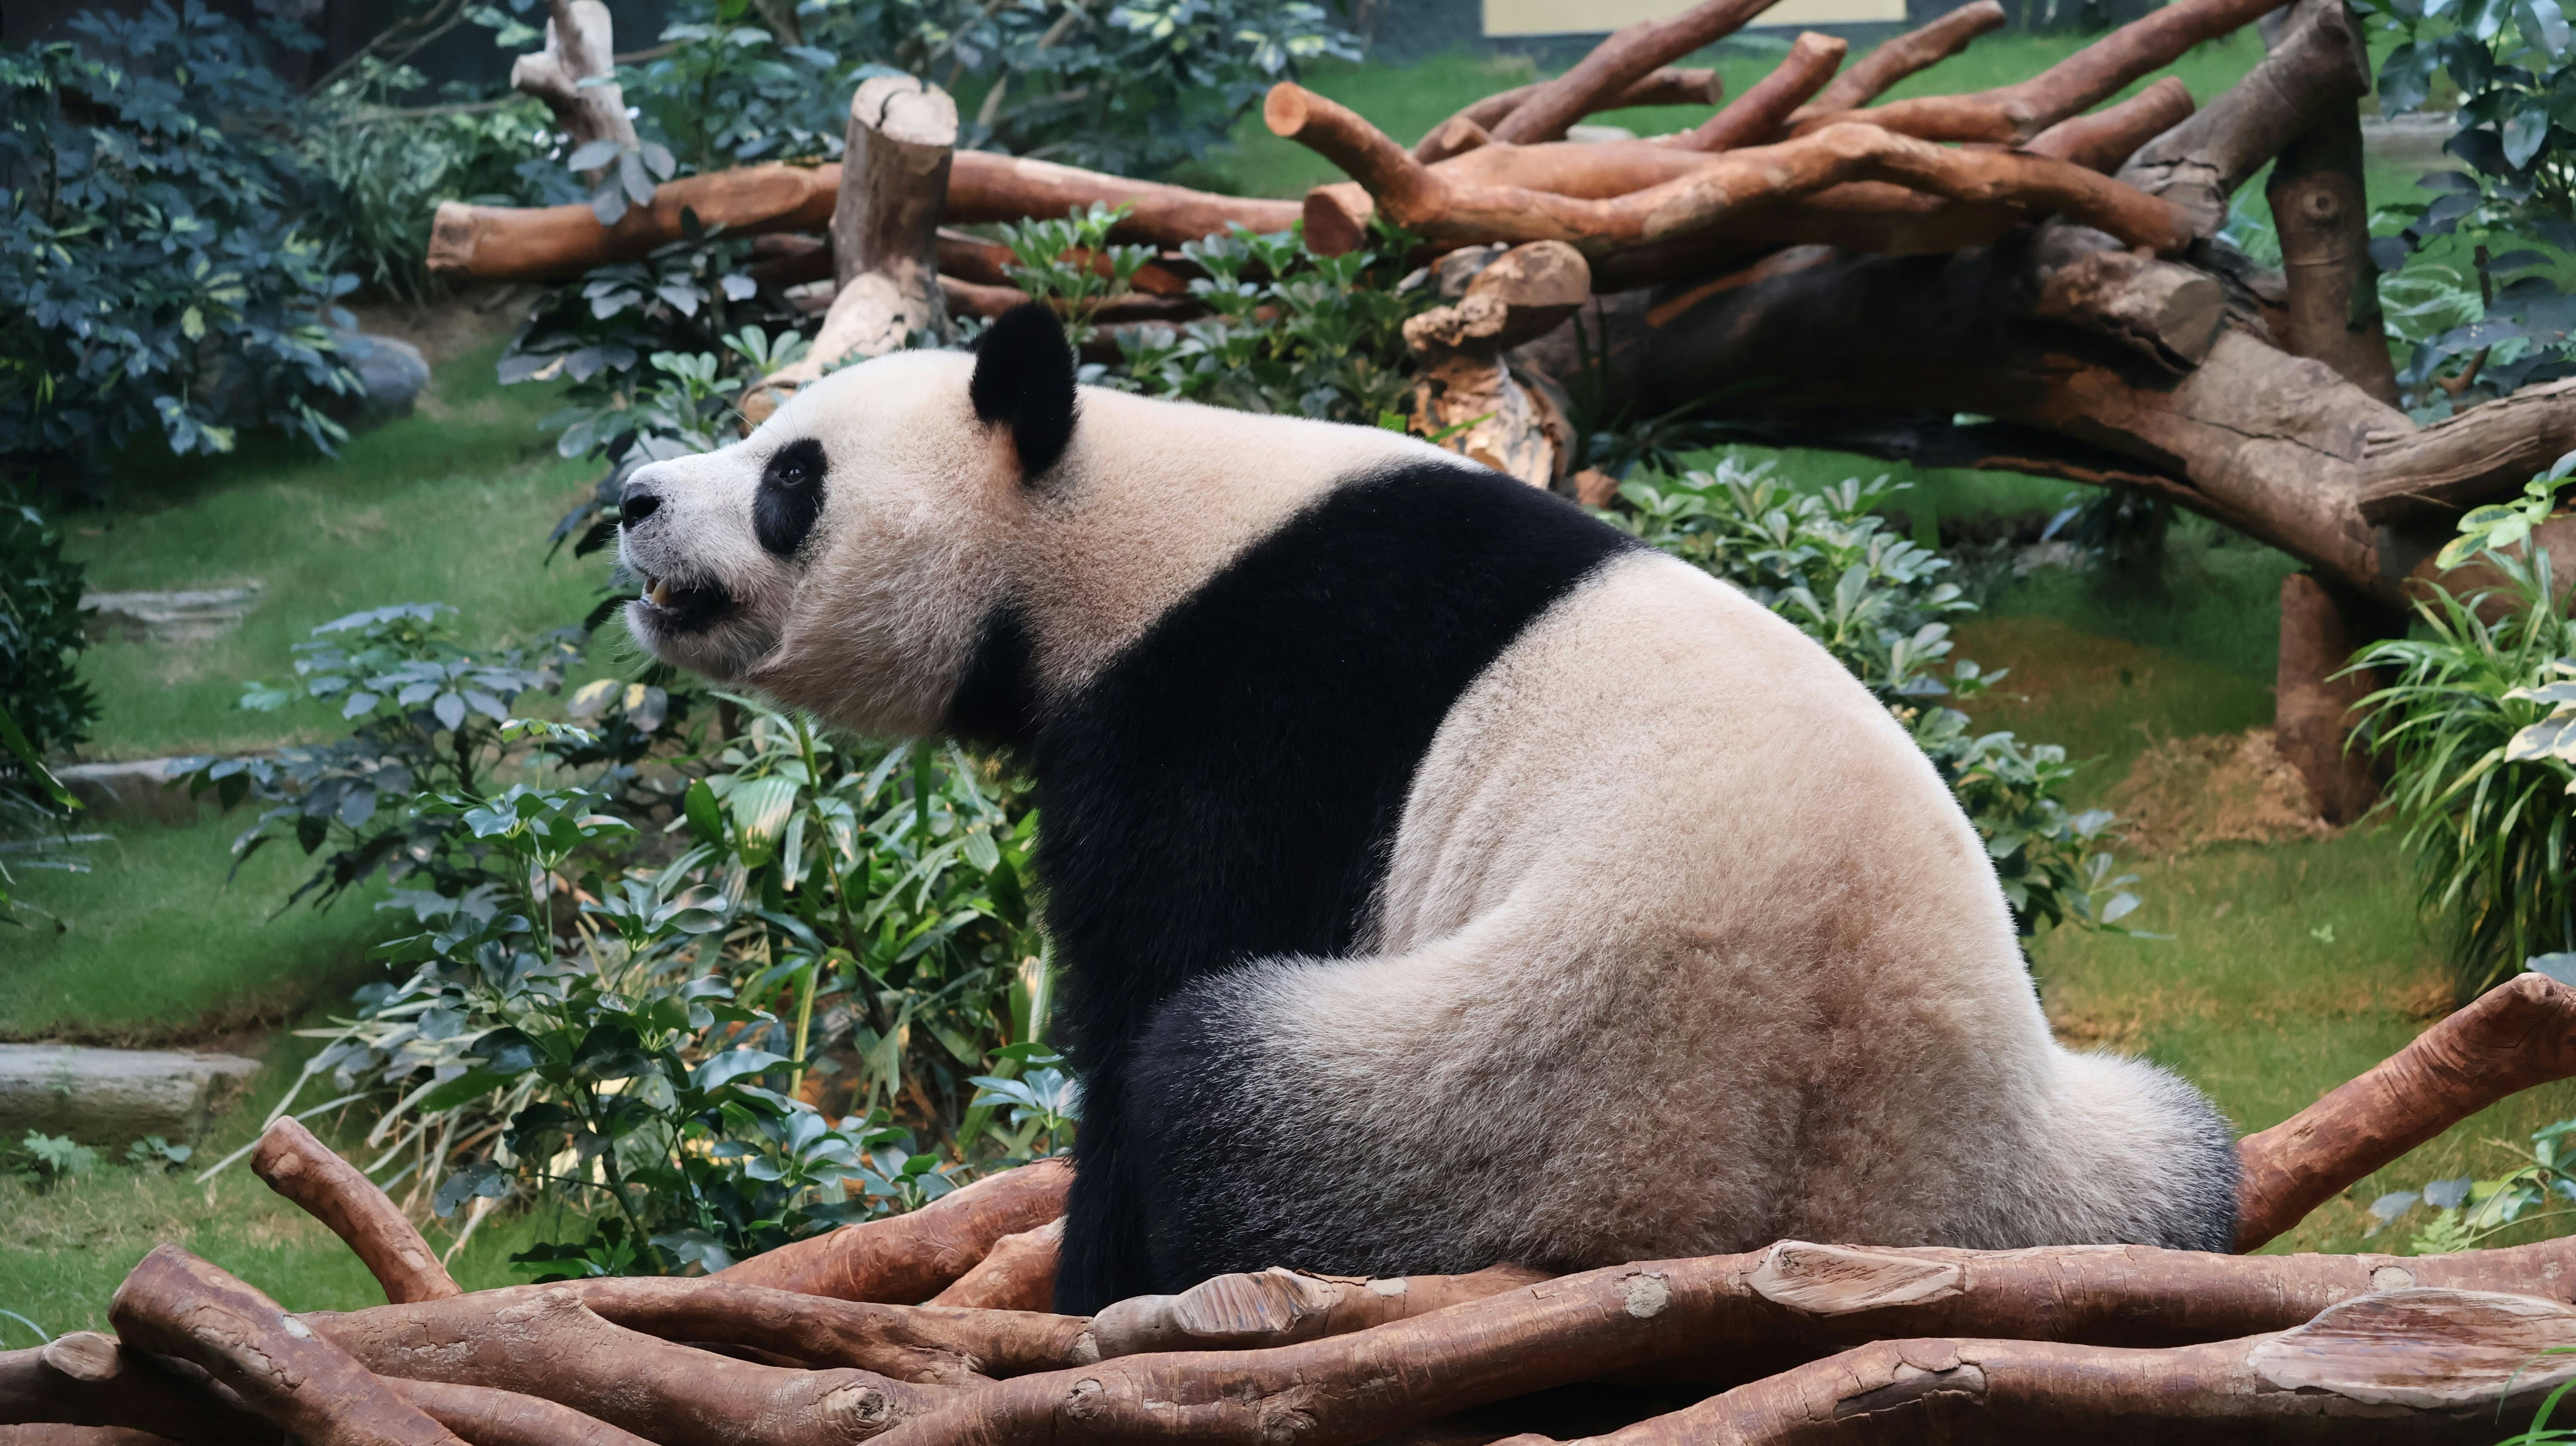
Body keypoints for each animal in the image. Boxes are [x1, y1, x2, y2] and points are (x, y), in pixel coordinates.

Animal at [618, 301, 2236, 1309]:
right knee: (2190, 1162)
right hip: (2061, 1161)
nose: (630, 497)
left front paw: (1087, 1288)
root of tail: (1834, 1220)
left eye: (792, 475)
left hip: (1494, 1106)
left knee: (1214, 1082)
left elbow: (1159, 975)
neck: (1103, 525)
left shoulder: (1249, 700)